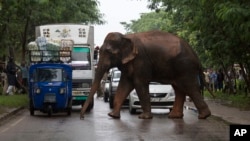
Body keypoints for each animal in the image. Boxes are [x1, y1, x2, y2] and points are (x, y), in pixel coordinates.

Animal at [80, 30, 211, 119]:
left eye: (109, 52)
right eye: (100, 51)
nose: (82, 117)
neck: (126, 37)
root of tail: (196, 55)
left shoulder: (141, 60)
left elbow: (139, 84)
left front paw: (144, 117)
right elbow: (124, 85)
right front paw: (112, 115)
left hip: (185, 67)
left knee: (190, 87)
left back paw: (204, 116)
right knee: (179, 89)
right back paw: (174, 116)